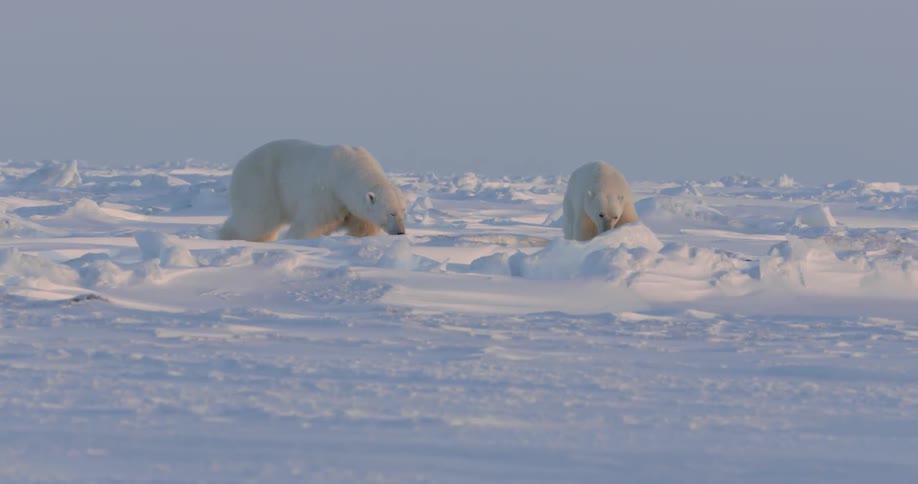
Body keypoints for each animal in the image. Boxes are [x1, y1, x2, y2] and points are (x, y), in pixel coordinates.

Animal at [218, 139, 406, 242]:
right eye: (391, 213)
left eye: (402, 212)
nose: (400, 232)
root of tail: (240, 164)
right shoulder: (326, 194)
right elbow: (310, 225)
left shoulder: (353, 206)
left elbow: (363, 227)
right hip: (262, 184)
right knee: (255, 221)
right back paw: (227, 237)